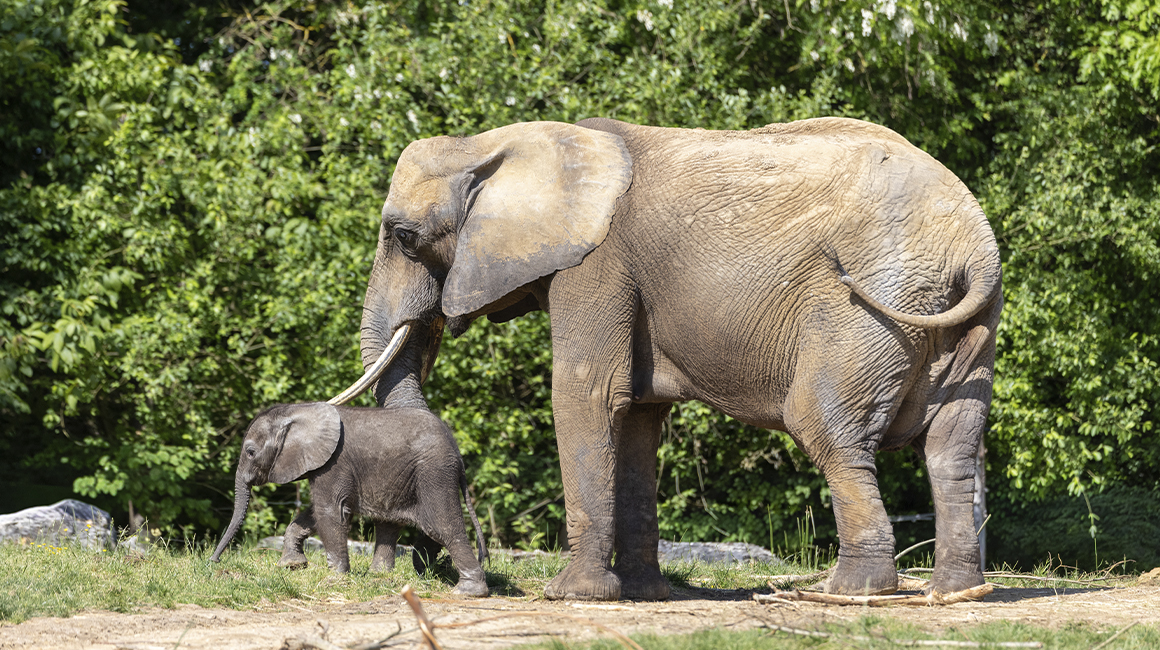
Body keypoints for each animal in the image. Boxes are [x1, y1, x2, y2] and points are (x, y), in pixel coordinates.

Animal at [209, 402, 489, 598]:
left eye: (250, 452)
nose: (213, 562)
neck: (300, 410)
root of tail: (458, 454)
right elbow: (312, 514)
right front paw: (291, 566)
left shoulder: (333, 463)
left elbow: (329, 511)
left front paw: (335, 579)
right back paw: (380, 576)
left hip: (434, 473)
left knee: (441, 526)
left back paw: (468, 592)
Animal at [329, 116, 1002, 601]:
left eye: (404, 237)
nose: (403, 571)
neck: (498, 142)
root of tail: (976, 247)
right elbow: (636, 418)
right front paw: (644, 593)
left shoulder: (597, 266)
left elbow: (587, 395)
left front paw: (574, 595)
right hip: (968, 323)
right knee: (952, 443)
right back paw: (956, 594)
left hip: (870, 308)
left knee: (827, 426)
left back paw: (848, 593)